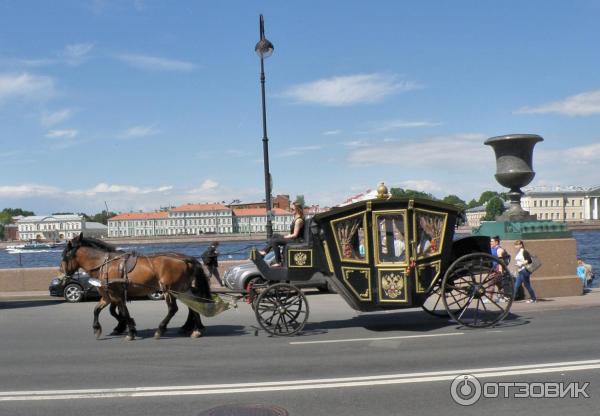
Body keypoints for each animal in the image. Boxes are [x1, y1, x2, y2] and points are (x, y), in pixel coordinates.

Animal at [60, 232, 211, 340]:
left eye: (64, 255)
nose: (61, 275)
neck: (105, 264)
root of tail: (186, 259)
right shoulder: (107, 296)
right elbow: (97, 310)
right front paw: (98, 328)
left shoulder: (116, 295)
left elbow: (123, 312)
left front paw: (130, 331)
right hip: (182, 289)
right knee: (193, 305)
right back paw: (195, 329)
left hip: (169, 289)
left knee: (173, 309)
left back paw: (162, 329)